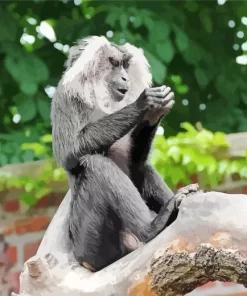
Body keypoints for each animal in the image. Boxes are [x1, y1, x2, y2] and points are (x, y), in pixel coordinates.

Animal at [50, 35, 201, 272]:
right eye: (114, 63)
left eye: (125, 65)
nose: (124, 77)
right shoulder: (65, 97)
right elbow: (69, 152)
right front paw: (144, 104)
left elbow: (135, 161)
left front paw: (154, 113)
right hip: (92, 244)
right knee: (96, 164)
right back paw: (153, 226)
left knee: (140, 167)